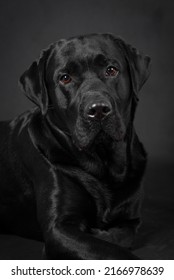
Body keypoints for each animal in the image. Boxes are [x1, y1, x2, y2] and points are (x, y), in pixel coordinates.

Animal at [0, 34, 151, 260]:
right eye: (65, 78)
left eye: (111, 70)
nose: (98, 110)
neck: (103, 164)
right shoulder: (59, 228)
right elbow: (111, 251)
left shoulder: (131, 220)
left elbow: (120, 238)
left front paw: (101, 232)